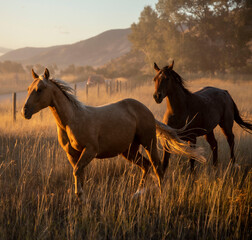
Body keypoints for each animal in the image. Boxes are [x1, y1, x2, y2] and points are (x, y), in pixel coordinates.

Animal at [21, 68, 205, 201]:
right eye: (28, 89)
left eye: (39, 89)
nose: (24, 111)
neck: (72, 120)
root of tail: (147, 111)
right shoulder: (72, 154)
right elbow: (78, 173)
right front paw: (80, 199)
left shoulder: (90, 150)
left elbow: (77, 171)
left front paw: (81, 197)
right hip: (129, 151)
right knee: (145, 166)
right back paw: (137, 194)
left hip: (149, 143)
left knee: (157, 167)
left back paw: (161, 194)